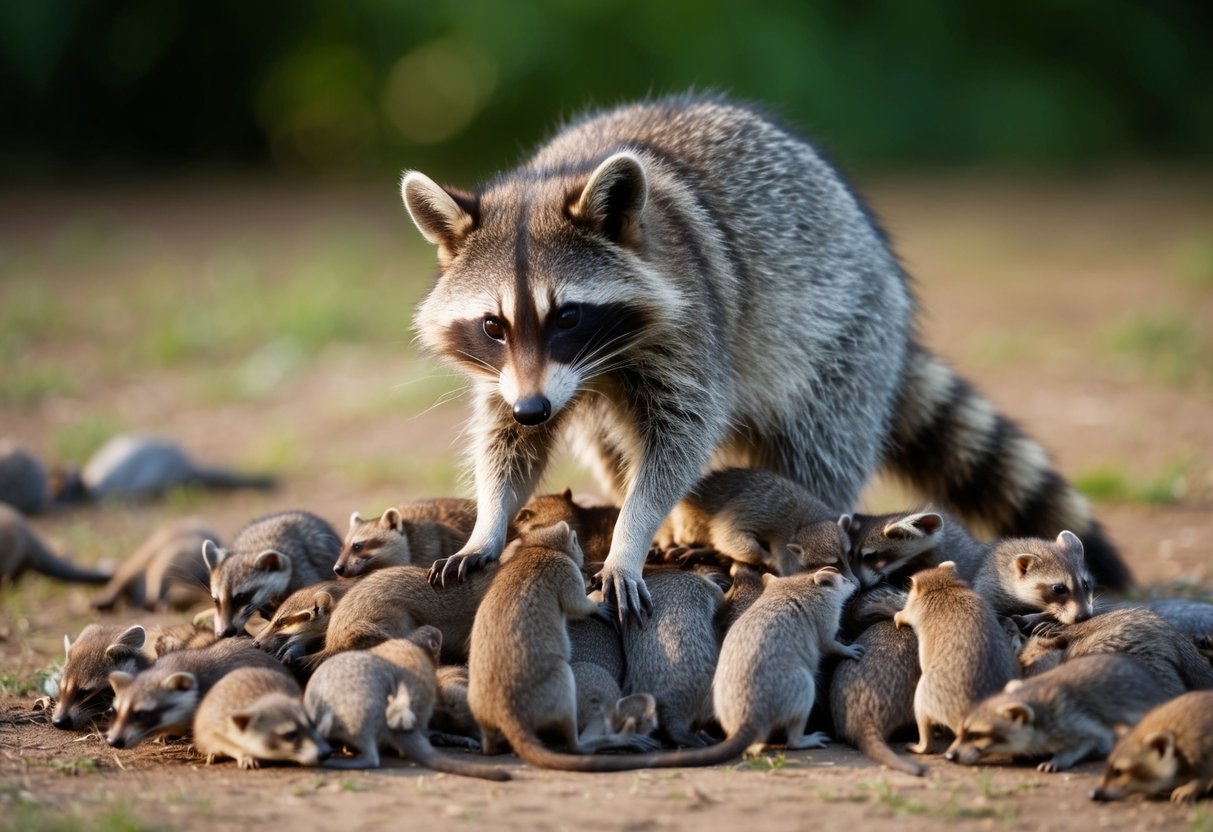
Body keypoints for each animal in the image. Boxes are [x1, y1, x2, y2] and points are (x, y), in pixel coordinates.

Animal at [400, 93, 1126, 621]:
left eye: (569, 316)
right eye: (492, 325)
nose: (534, 408)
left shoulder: (693, 325)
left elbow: (679, 441)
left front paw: (632, 535)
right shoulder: (516, 376)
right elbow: (506, 440)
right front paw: (490, 520)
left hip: (842, 340)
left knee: (818, 448)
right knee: (609, 439)